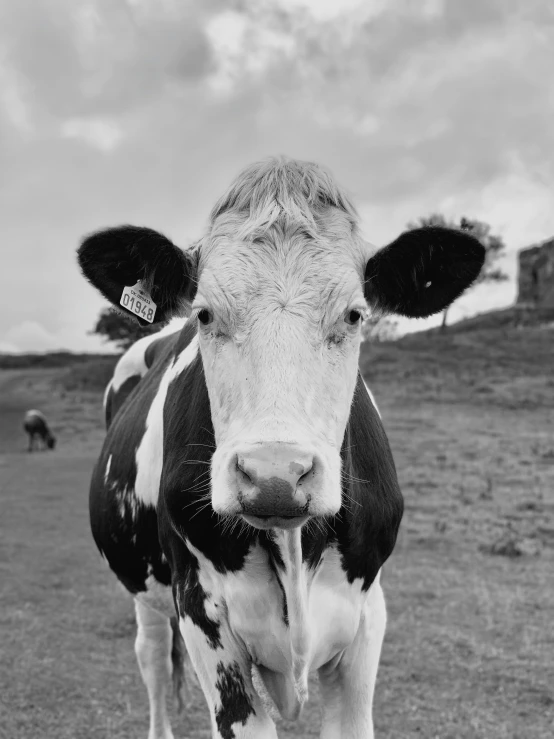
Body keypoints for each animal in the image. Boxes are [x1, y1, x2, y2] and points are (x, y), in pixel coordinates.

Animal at [77, 158, 484, 739]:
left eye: (355, 315)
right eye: (205, 314)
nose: (275, 475)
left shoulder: (367, 615)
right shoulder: (201, 614)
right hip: (147, 595)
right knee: (152, 662)